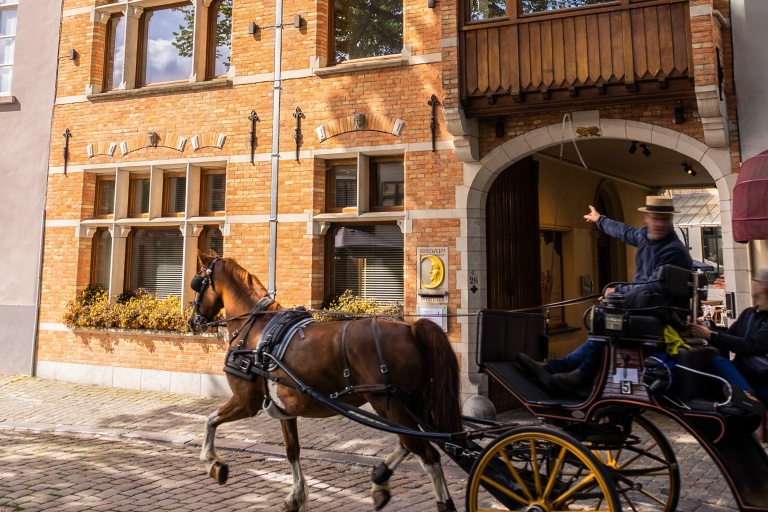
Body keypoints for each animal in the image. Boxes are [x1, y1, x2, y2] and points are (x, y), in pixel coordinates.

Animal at [188, 253, 462, 512]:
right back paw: (380, 480)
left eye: (197, 282)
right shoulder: (285, 410)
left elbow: (210, 420)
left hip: (389, 404)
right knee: (410, 442)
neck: (255, 329)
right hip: (408, 405)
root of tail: (410, 329)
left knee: (426, 452)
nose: (192, 321)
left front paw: (214, 463)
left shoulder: (246, 402)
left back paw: (439, 501)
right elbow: (292, 450)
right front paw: (295, 498)